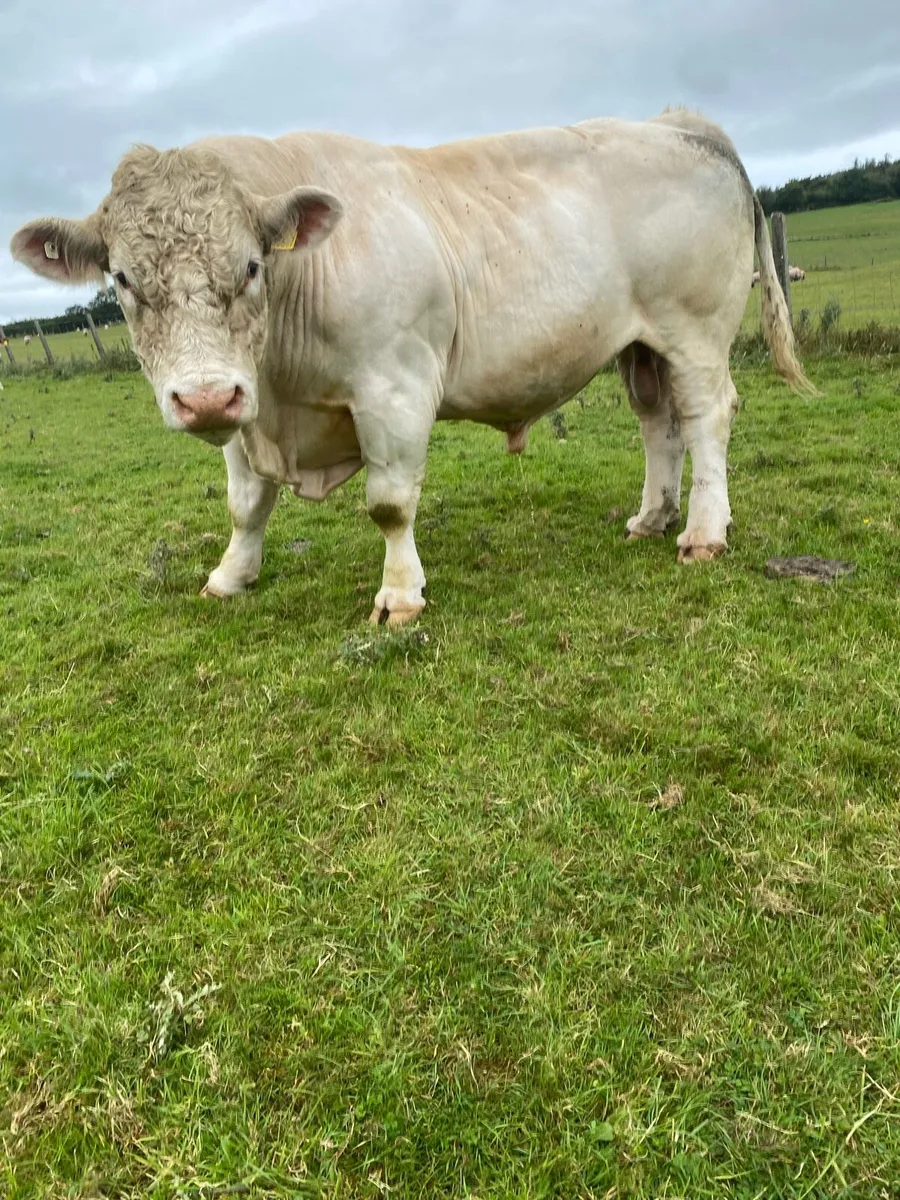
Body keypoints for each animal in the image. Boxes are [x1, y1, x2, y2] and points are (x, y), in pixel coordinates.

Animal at [10, 107, 814, 624]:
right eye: (122, 280)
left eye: (250, 266)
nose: (203, 399)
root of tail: (680, 123)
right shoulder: (247, 405)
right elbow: (245, 504)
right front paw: (230, 577)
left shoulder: (392, 387)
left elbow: (390, 504)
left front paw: (399, 596)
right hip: (639, 343)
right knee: (659, 423)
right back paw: (651, 517)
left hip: (696, 329)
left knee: (707, 416)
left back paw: (703, 533)